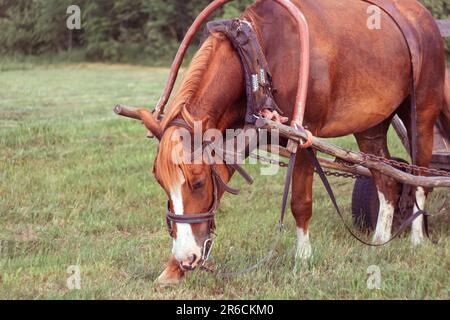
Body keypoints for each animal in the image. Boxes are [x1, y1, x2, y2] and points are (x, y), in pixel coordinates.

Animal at [137, 0, 446, 284]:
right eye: (160, 181)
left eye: (199, 182)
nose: (187, 257)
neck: (258, 57)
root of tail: (424, 17)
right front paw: (173, 268)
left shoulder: (304, 135)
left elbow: (300, 202)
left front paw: (303, 259)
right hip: (371, 122)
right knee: (386, 179)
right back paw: (380, 239)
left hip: (422, 112)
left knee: (420, 178)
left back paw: (417, 236)